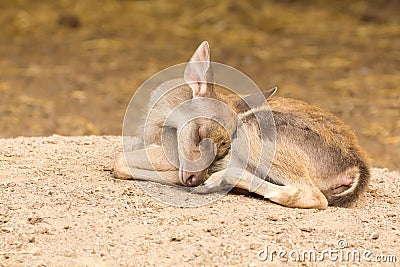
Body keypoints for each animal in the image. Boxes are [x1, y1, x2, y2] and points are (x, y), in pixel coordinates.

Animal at [112, 41, 368, 209]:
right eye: (199, 133)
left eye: (221, 149)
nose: (194, 178)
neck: (151, 127)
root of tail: (356, 167)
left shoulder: (172, 152)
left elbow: (119, 162)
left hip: (255, 134)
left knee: (311, 195)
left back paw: (219, 180)